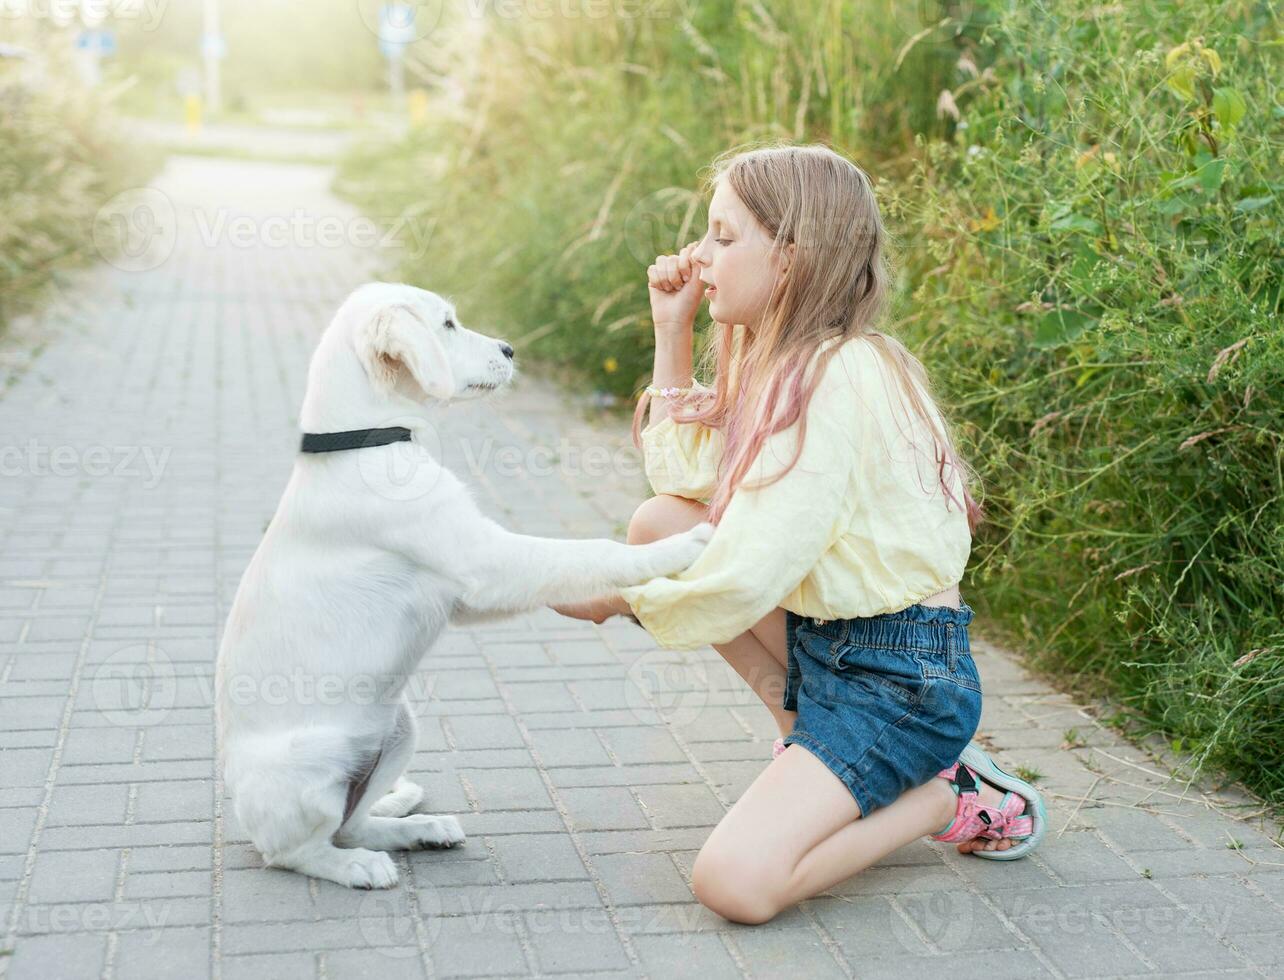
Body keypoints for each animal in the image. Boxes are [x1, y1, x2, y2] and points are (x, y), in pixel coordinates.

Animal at [214, 281, 708, 888]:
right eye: (447, 324)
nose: (511, 348)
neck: (364, 443)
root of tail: (243, 810)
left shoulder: (463, 592)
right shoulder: (485, 563)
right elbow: (590, 552)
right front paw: (676, 547)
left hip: (398, 726)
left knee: (353, 822)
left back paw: (414, 824)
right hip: (314, 763)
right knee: (299, 850)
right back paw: (355, 866)